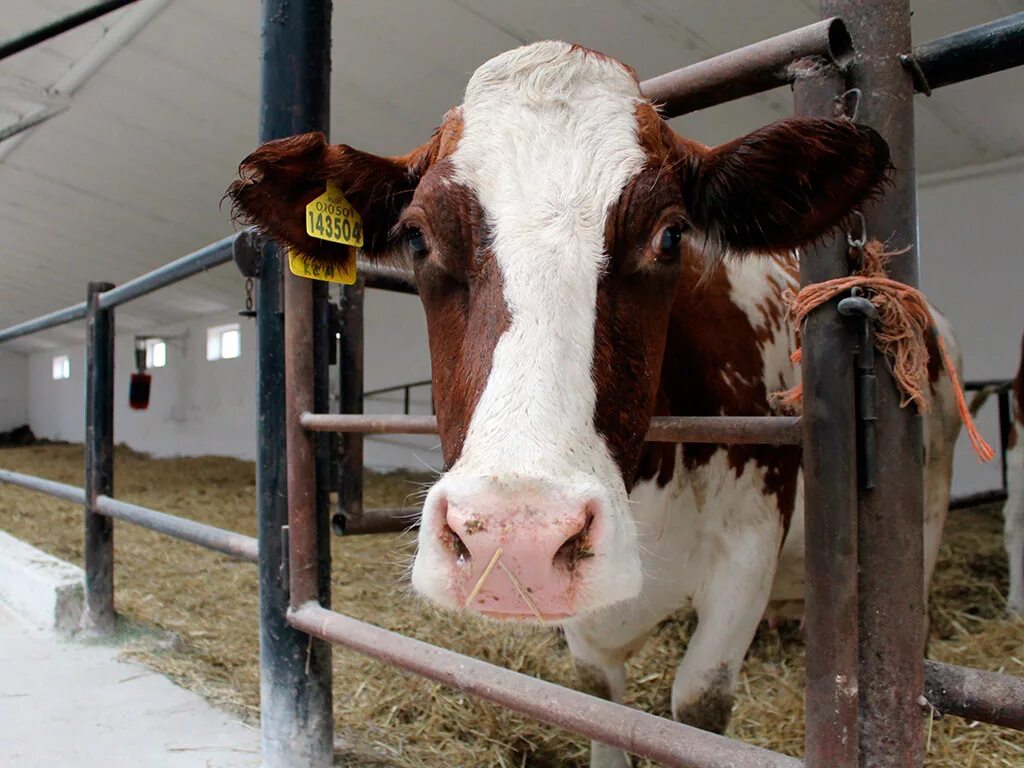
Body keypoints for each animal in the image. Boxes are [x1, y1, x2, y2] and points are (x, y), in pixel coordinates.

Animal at [228, 43, 962, 768]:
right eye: (416, 238)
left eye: (671, 236)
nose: (514, 541)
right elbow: (600, 701)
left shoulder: (747, 544)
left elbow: (698, 703)